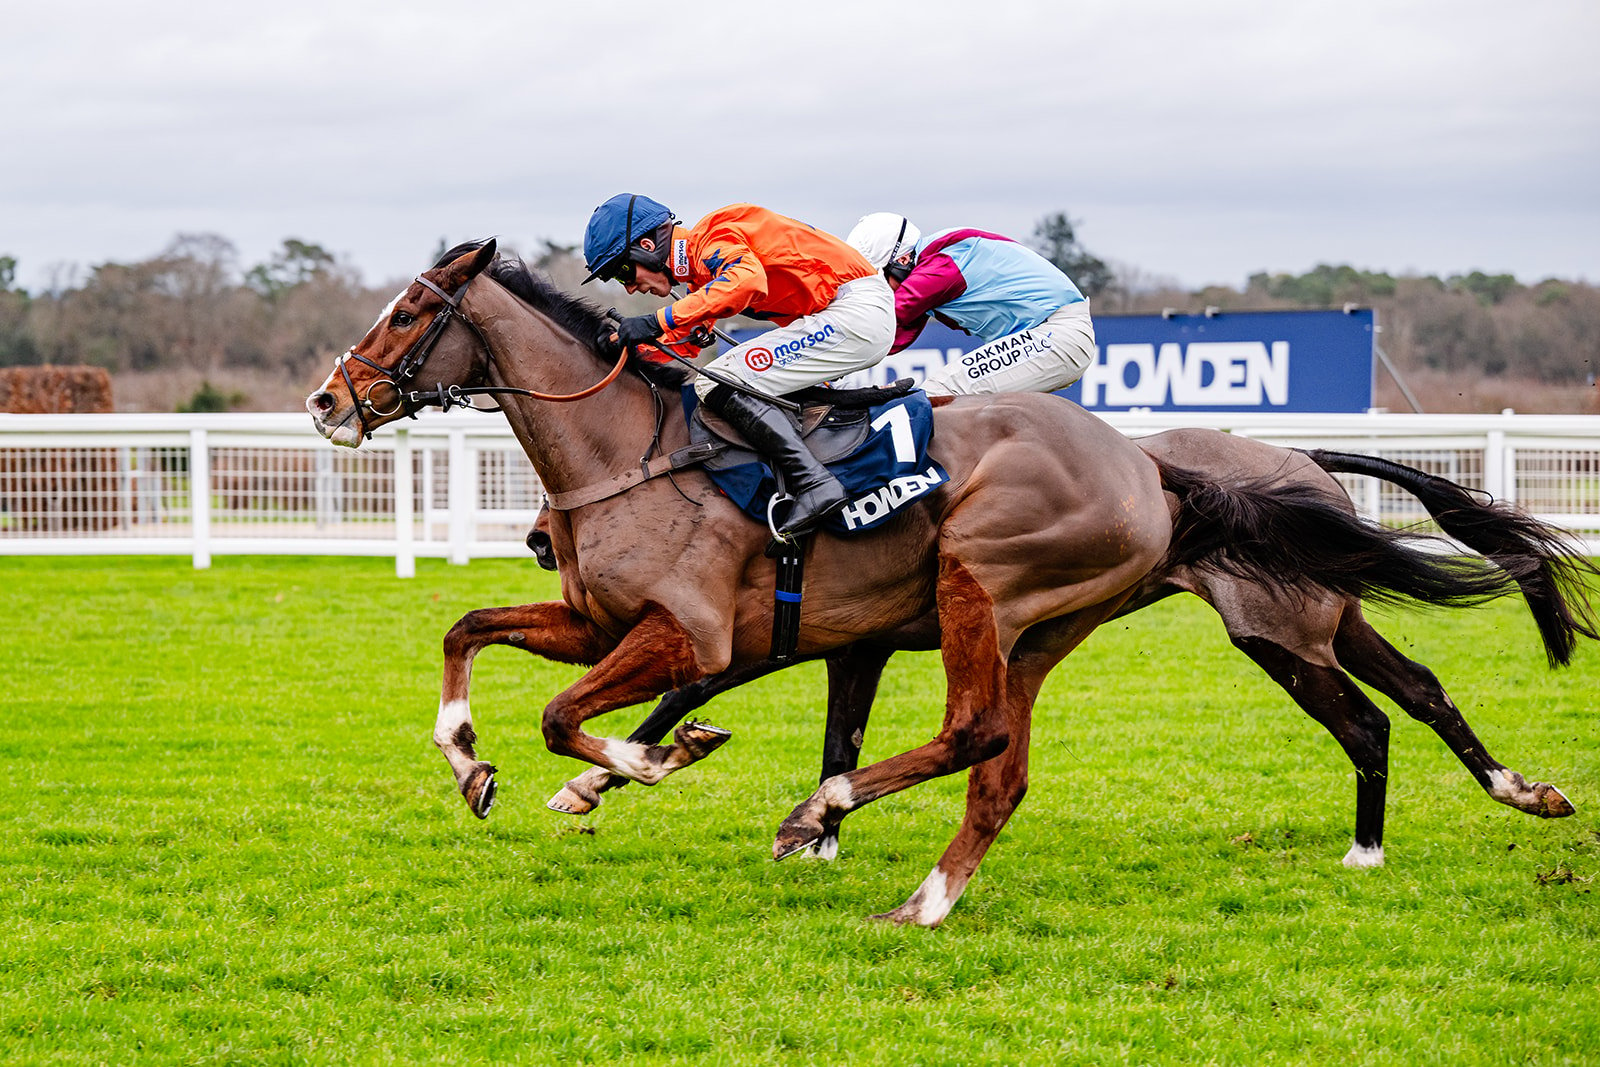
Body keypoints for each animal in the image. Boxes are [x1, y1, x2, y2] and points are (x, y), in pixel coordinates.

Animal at [308, 238, 1548, 921]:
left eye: (410, 312)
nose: (327, 400)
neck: (635, 450)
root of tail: (1157, 469)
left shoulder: (701, 631)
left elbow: (579, 715)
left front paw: (645, 764)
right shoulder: (606, 619)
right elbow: (468, 628)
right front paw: (473, 759)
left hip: (1164, 606)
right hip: (1188, 621)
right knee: (1390, 699)